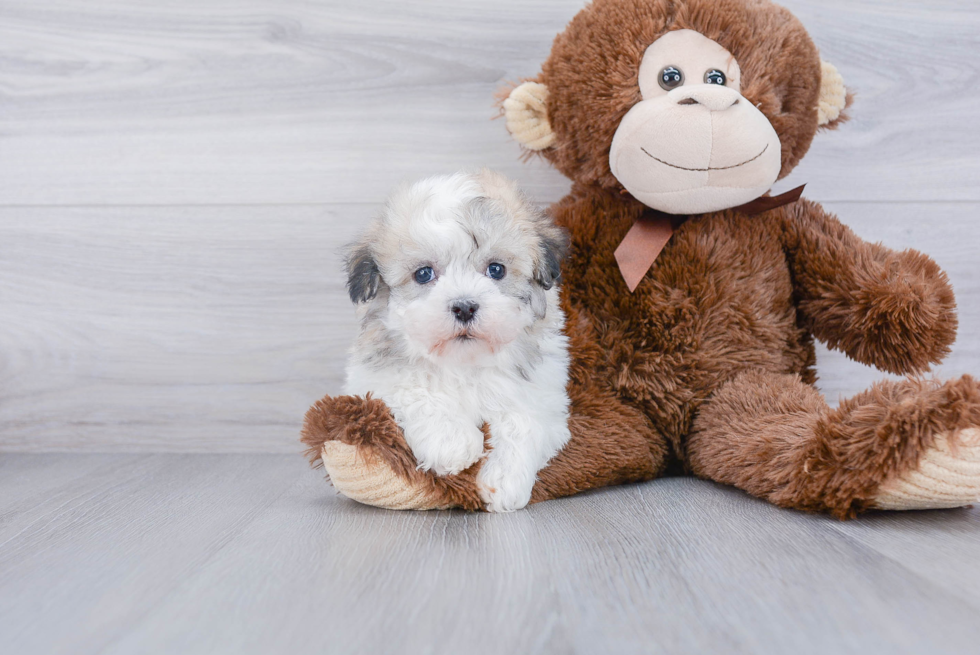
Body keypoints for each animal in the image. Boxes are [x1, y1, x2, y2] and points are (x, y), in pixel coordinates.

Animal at [344, 172, 576, 516]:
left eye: (496, 269)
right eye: (424, 274)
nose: (465, 307)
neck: (464, 362)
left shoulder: (544, 395)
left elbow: (524, 421)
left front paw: (505, 481)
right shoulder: (372, 379)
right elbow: (414, 390)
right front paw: (452, 443)